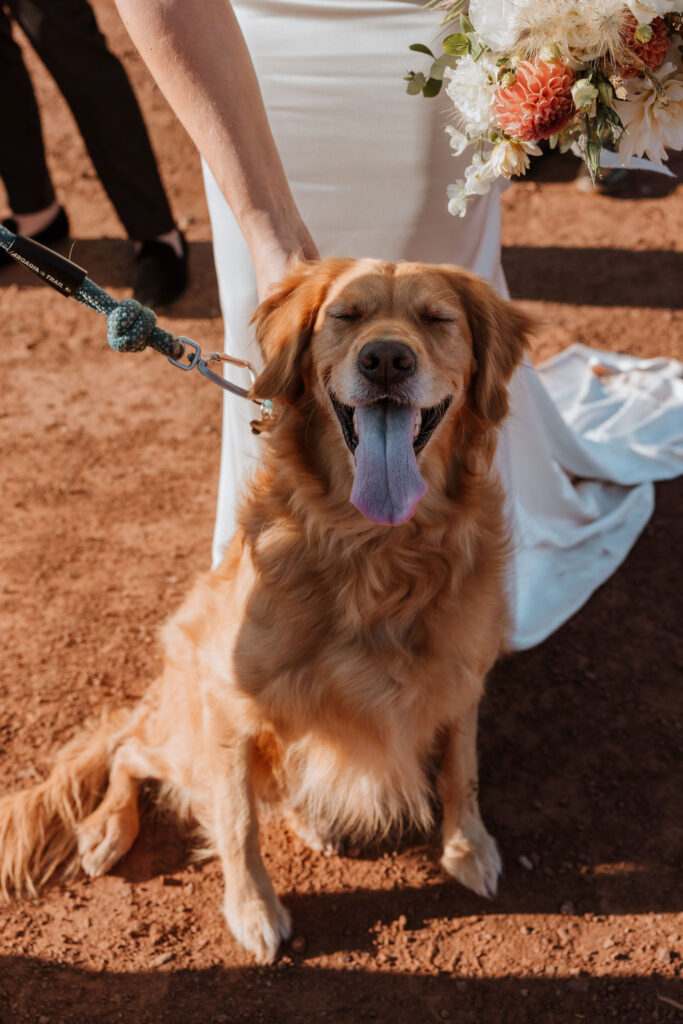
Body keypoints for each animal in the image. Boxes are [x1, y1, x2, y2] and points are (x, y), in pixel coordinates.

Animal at [0, 260, 532, 962]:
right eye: (346, 316)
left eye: (437, 319)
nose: (386, 359)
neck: (377, 550)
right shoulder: (229, 704)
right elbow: (238, 820)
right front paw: (252, 908)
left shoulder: (460, 678)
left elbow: (459, 772)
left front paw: (467, 848)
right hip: (192, 722)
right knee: (131, 750)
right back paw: (107, 829)